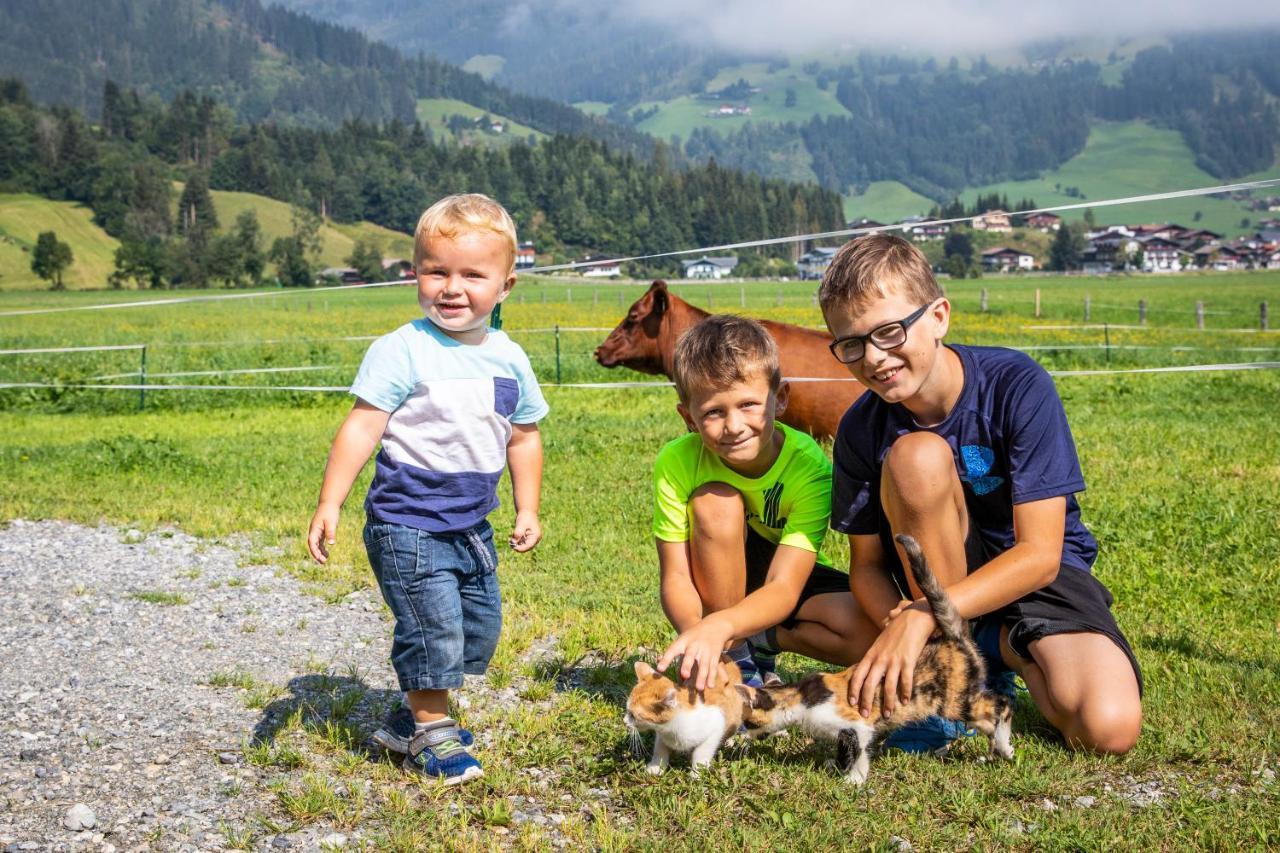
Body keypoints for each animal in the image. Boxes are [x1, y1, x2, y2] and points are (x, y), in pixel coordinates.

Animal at [737, 532, 1013, 783]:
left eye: (748, 722)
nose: (746, 735)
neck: (800, 697)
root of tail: (951, 637)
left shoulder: (856, 725)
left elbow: (857, 752)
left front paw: (853, 780)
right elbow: (846, 750)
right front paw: (837, 767)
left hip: (952, 700)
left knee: (1001, 704)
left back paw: (1004, 746)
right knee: (988, 718)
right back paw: (995, 752)